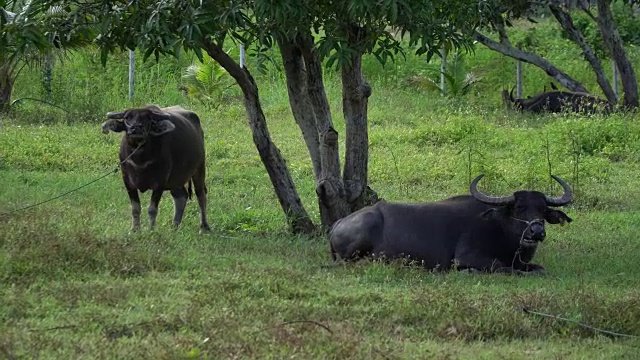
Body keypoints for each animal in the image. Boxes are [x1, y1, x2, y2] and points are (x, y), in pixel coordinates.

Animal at [330, 174, 568, 276]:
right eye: (519, 207)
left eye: (543, 210)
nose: (536, 231)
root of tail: (337, 224)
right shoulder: (467, 257)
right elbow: (501, 268)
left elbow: (539, 269)